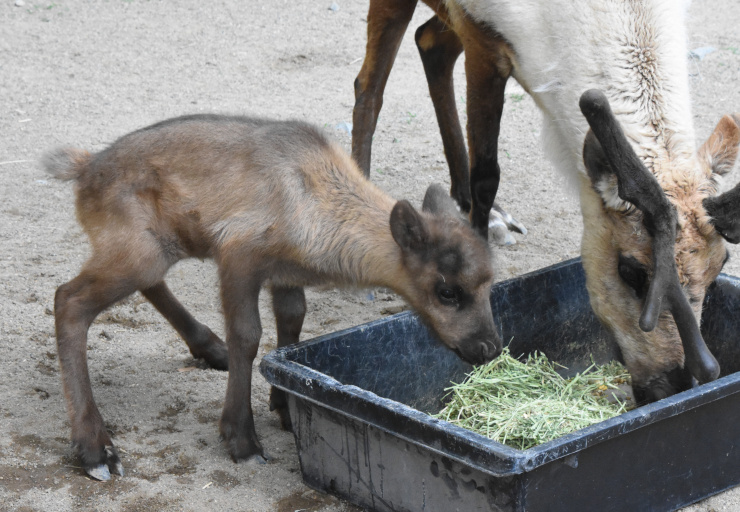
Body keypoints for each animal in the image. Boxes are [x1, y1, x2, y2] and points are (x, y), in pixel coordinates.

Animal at [43, 115, 500, 480]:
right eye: (447, 291)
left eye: (490, 281)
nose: (489, 347)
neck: (316, 200)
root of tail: (84, 169)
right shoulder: (238, 258)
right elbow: (248, 337)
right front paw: (242, 440)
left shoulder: (284, 275)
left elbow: (291, 325)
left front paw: (283, 407)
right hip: (138, 253)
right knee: (68, 300)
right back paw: (95, 450)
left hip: (154, 250)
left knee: (143, 286)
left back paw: (210, 349)